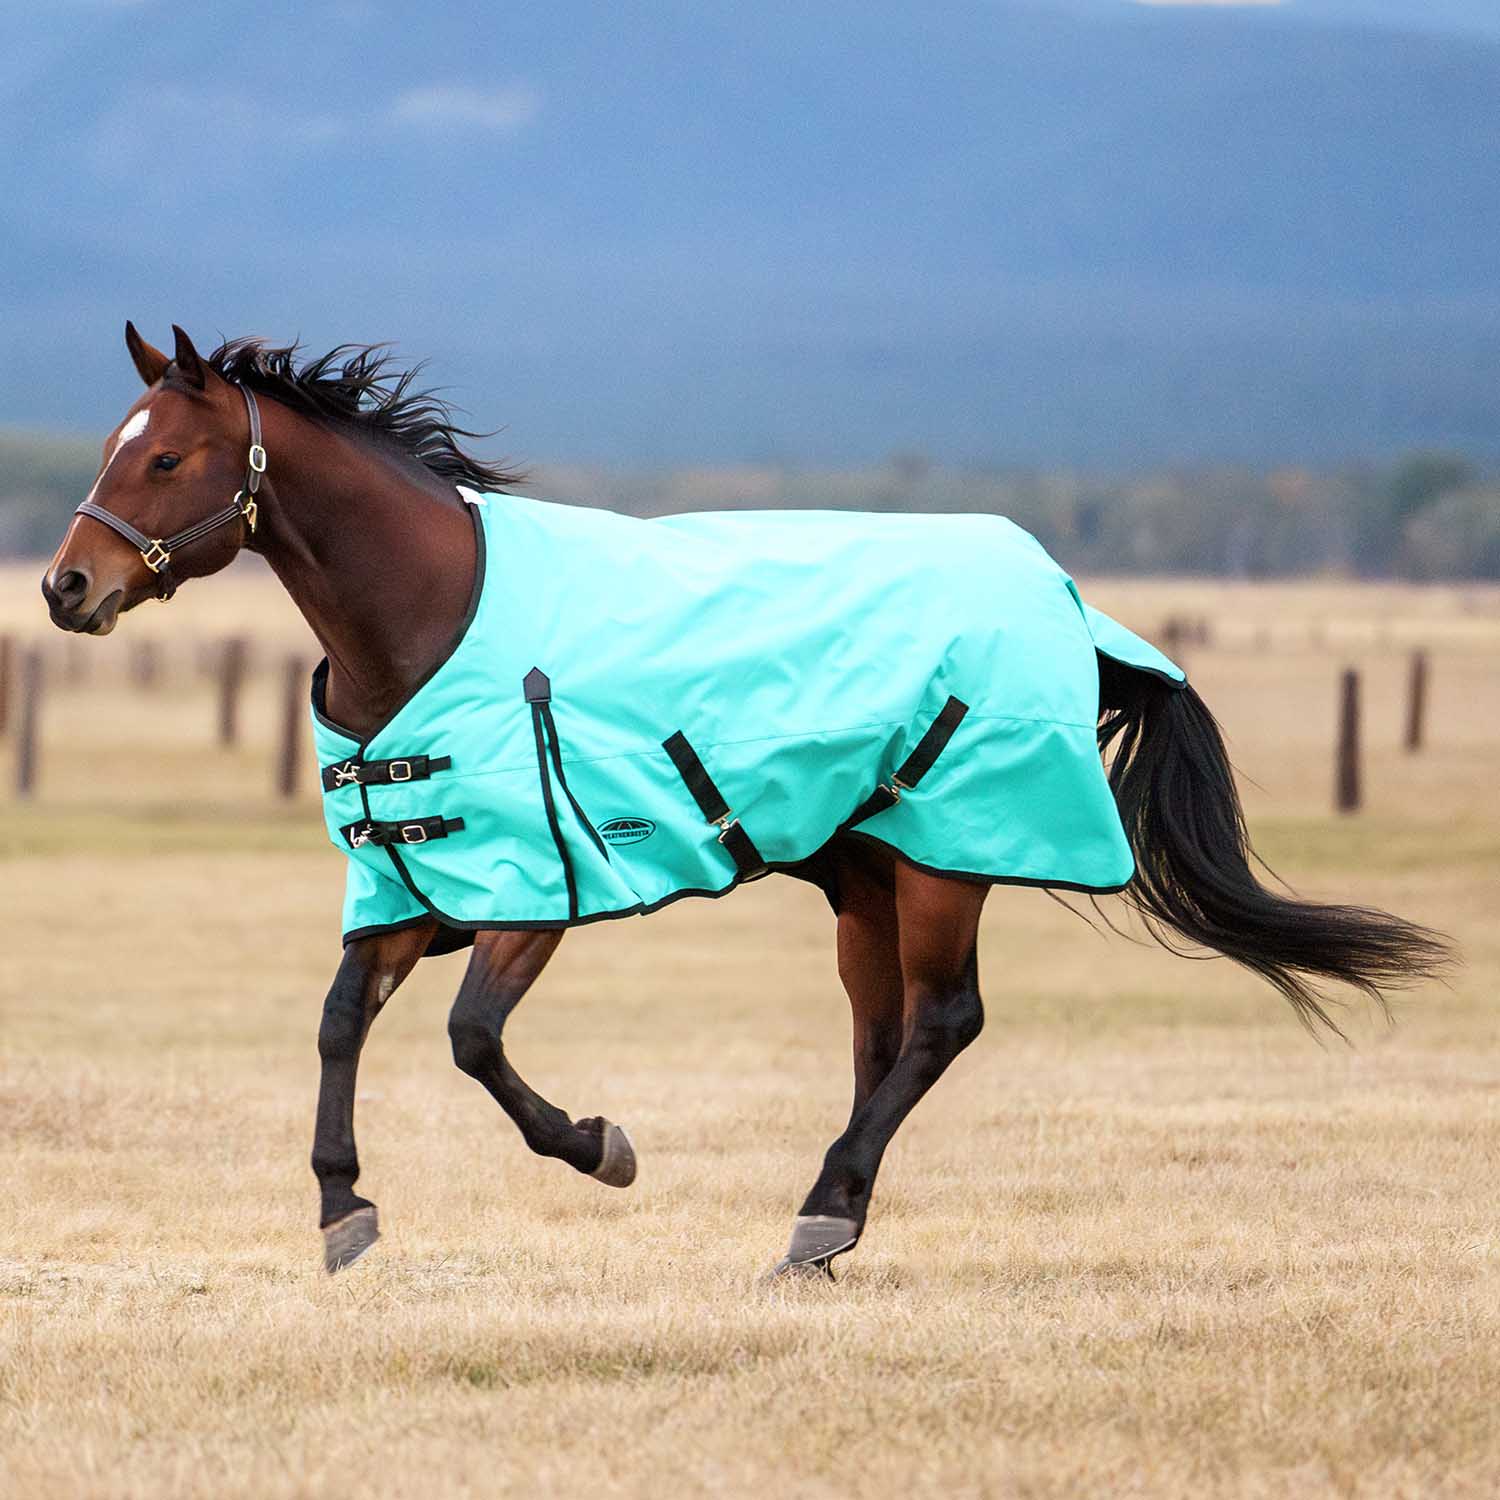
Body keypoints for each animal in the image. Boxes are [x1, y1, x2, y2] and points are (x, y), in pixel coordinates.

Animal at [42, 323, 1450, 1277]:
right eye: (117, 444)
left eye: (166, 455)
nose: (66, 587)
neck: (434, 619)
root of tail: (1061, 589)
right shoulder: (410, 884)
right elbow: (341, 1024)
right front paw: (344, 1212)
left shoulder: (536, 893)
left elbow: (473, 1042)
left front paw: (602, 1148)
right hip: (867, 881)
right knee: (886, 1037)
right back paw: (832, 1223)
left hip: (944, 863)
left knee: (944, 1023)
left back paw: (822, 1209)